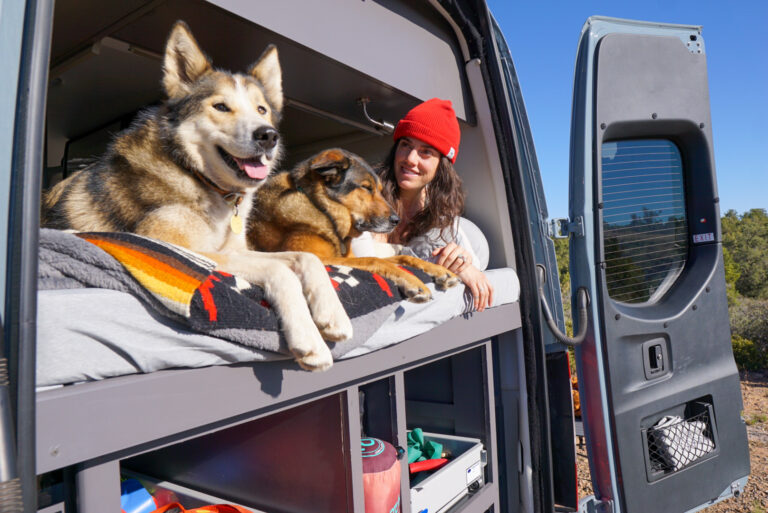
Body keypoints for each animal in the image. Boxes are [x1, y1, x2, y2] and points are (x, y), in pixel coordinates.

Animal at [40, 22, 352, 370]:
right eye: (221, 107)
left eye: (262, 110)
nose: (268, 135)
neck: (199, 178)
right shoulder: (179, 247)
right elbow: (281, 271)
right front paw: (309, 339)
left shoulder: (238, 250)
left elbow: (306, 257)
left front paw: (333, 314)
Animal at [249, 147, 460, 300]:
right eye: (366, 188)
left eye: (380, 189)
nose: (396, 221)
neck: (322, 209)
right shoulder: (317, 258)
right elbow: (373, 260)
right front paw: (413, 282)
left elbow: (403, 257)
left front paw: (440, 270)